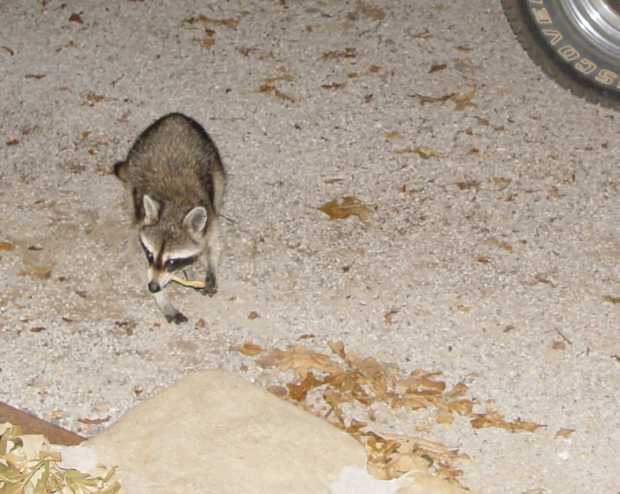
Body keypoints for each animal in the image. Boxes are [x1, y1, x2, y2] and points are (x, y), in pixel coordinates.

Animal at [113, 113, 225, 324]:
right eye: (150, 255)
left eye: (172, 262)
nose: (153, 287)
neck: (175, 207)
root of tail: (174, 117)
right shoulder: (138, 224)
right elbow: (136, 257)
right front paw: (162, 300)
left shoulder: (210, 214)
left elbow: (215, 240)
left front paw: (211, 265)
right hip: (135, 163)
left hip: (216, 166)